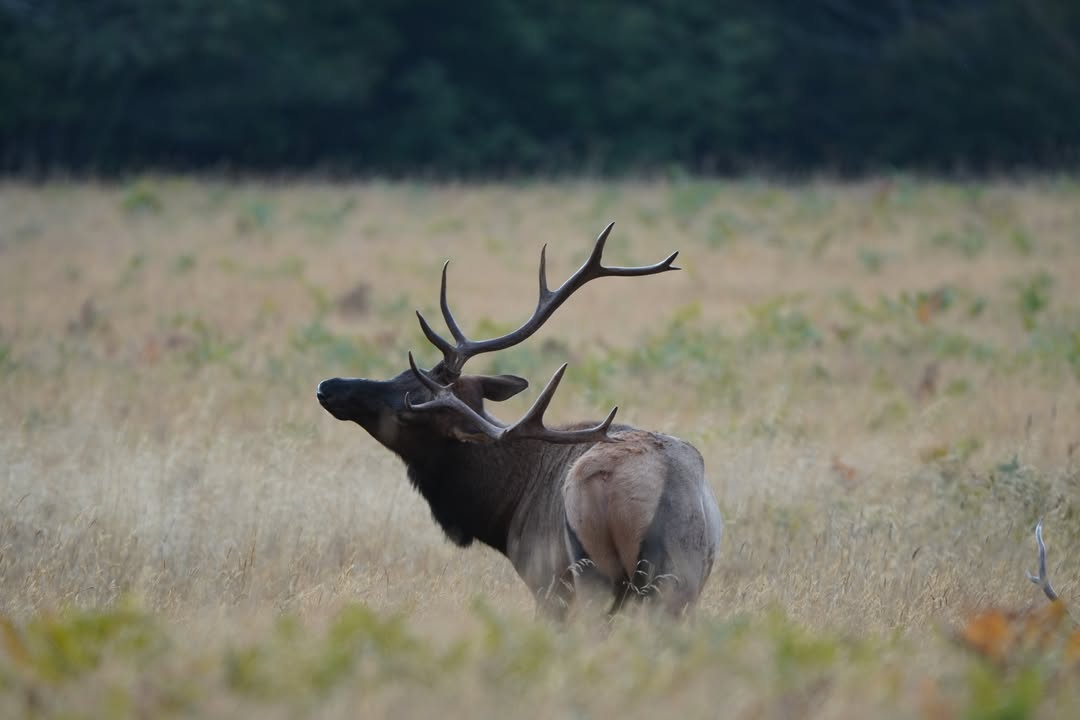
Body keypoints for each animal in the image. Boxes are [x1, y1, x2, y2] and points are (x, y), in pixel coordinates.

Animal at [316, 223, 723, 619]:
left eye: (408, 408)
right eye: (399, 375)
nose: (327, 386)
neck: (504, 507)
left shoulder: (545, 579)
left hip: (593, 575)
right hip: (680, 580)